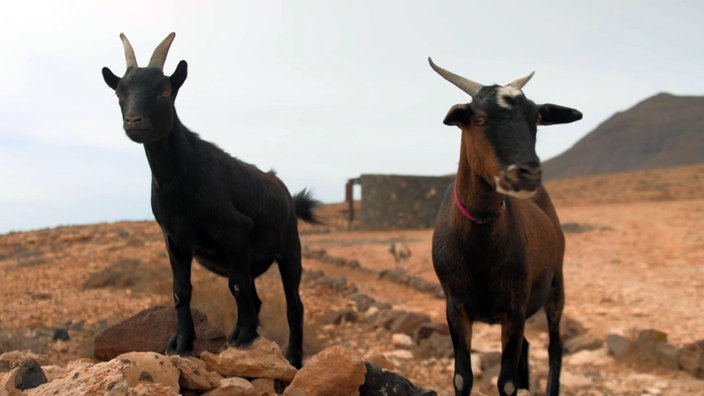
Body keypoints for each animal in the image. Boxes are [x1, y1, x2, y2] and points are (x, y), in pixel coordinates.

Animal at [100, 33, 320, 368]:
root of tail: (287, 195)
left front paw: (243, 338)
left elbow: (237, 286)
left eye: (165, 91)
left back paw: (292, 357)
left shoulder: (234, 231)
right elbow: (181, 291)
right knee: (256, 297)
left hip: (289, 251)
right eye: (119, 93)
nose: (134, 121)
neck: (182, 182)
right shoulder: (175, 241)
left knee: (294, 304)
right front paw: (181, 342)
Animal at [428, 58, 584, 396]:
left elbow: (507, 382)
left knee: (554, 348)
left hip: (556, 290)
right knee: (528, 346)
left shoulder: (514, 308)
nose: (527, 173)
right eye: (479, 119)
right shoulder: (455, 307)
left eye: (536, 117)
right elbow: (462, 377)